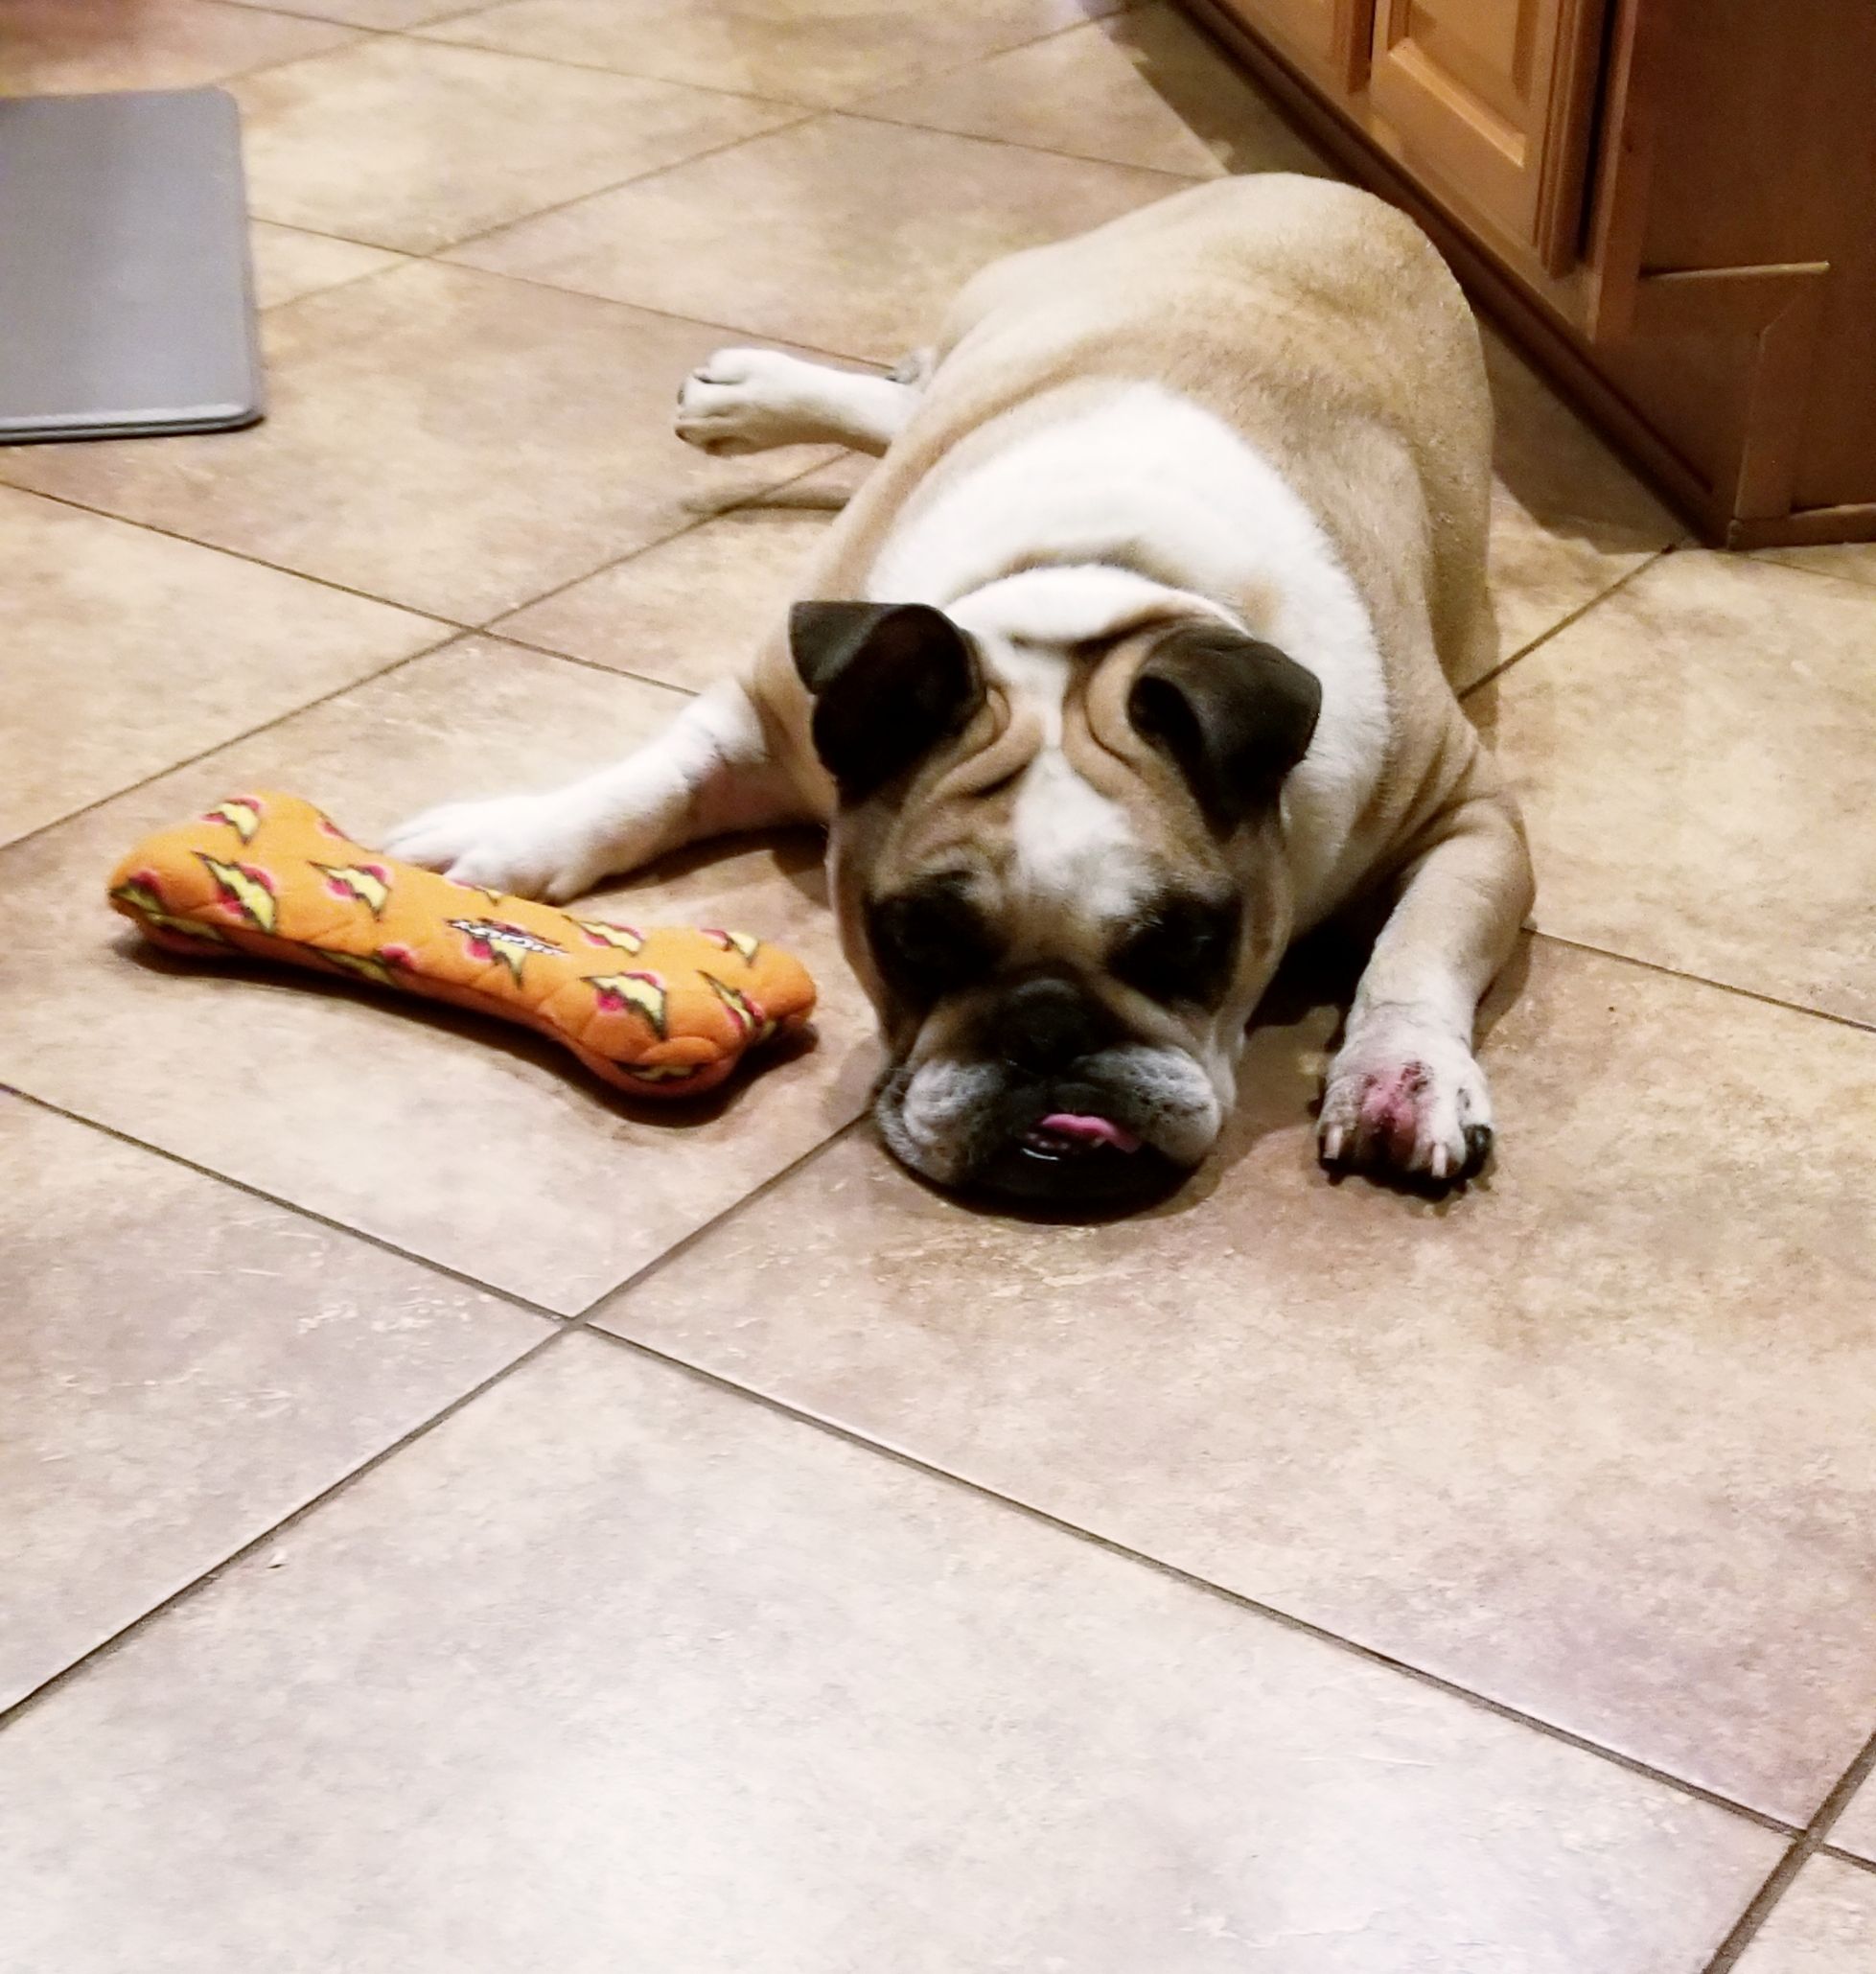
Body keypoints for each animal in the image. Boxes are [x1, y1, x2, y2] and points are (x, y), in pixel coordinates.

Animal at [389, 174, 1534, 1208]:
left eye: (1188, 943)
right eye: (916, 939)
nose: (1048, 1031)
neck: (1089, 603)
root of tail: (1336, 190)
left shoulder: (1464, 814)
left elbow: (1418, 948)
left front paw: (1402, 1076)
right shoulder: (761, 714)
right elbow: (646, 784)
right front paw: (503, 843)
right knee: (901, 396)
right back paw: (749, 396)